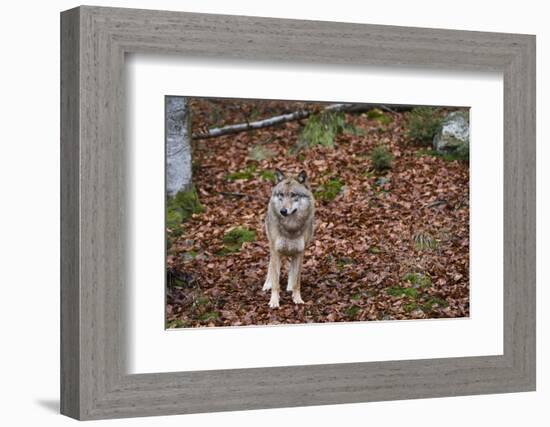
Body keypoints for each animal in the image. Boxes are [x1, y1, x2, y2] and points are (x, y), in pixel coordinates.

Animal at [266, 170, 316, 308]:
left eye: (293, 195)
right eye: (281, 194)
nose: (283, 211)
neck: (290, 227)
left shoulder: (300, 252)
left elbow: (296, 281)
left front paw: (297, 298)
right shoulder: (276, 251)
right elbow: (276, 282)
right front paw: (274, 301)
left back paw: (289, 287)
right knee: (270, 266)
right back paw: (267, 285)